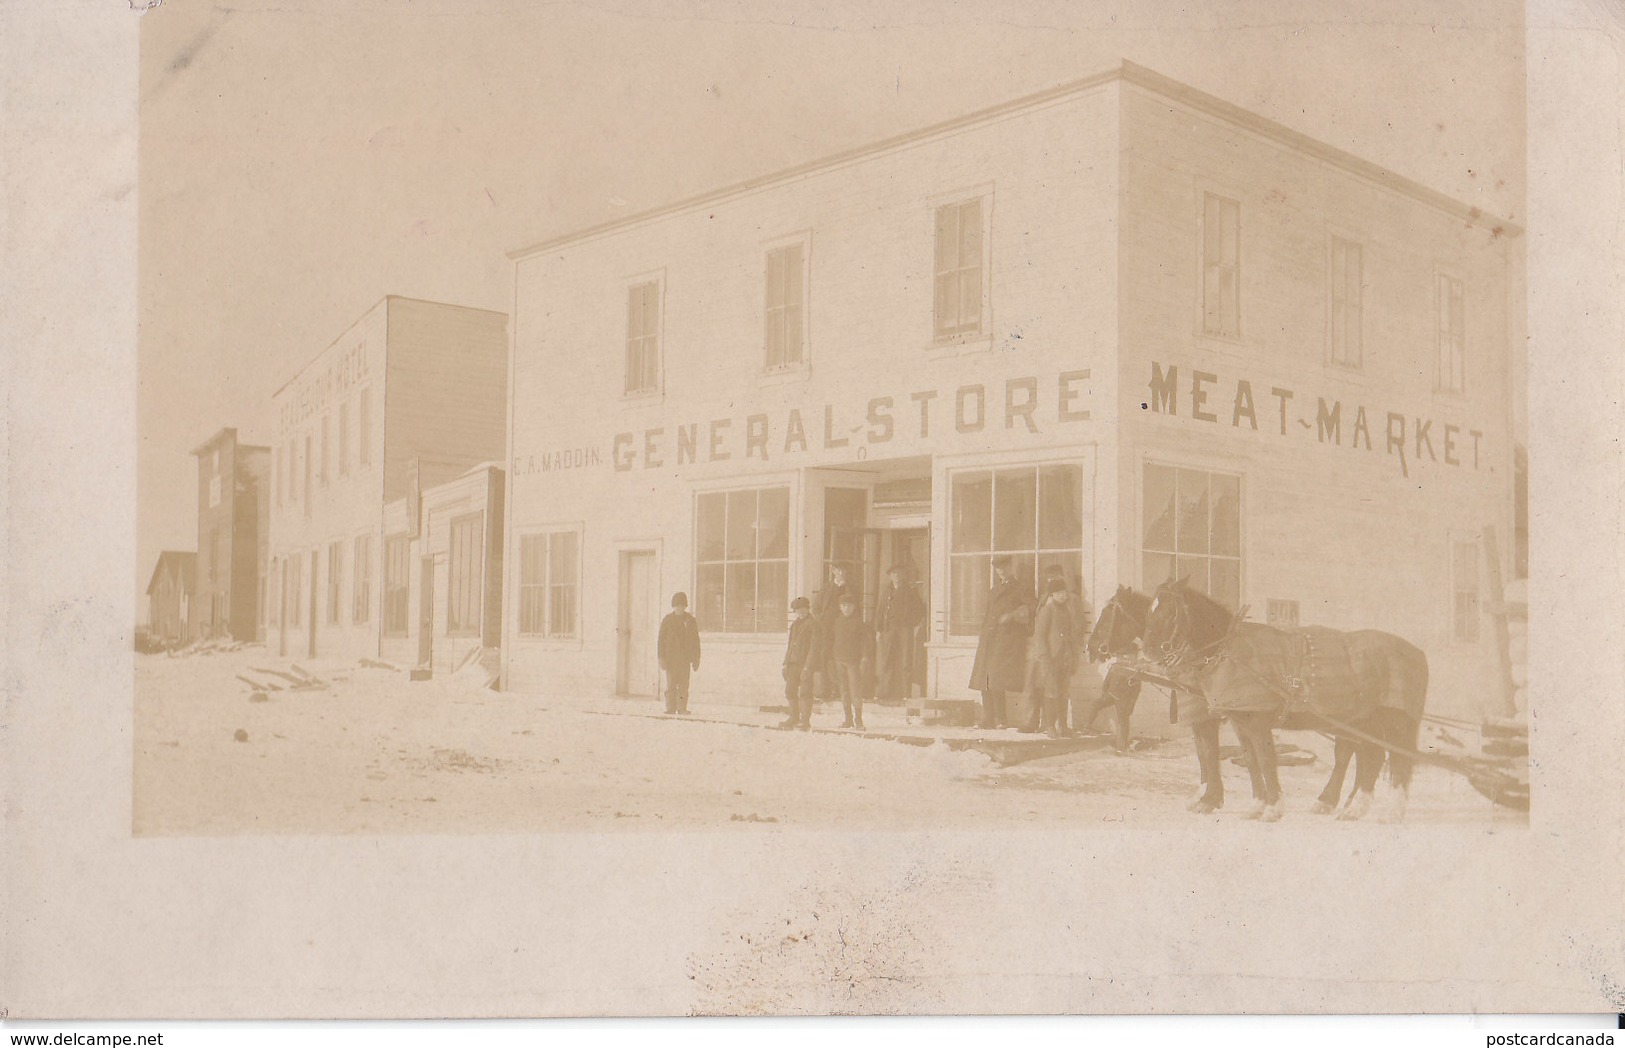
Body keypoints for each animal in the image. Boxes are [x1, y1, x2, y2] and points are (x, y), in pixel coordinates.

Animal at [1144, 581, 1423, 818]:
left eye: (1170, 613)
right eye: (1150, 610)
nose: (1146, 652)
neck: (1232, 652)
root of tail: (1416, 653)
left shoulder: (1256, 722)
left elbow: (1265, 759)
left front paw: (1272, 808)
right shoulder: (1240, 722)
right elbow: (1249, 760)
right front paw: (1256, 804)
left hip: (1389, 723)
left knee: (1390, 758)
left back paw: (1382, 810)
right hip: (1359, 722)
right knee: (1366, 756)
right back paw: (1348, 805)